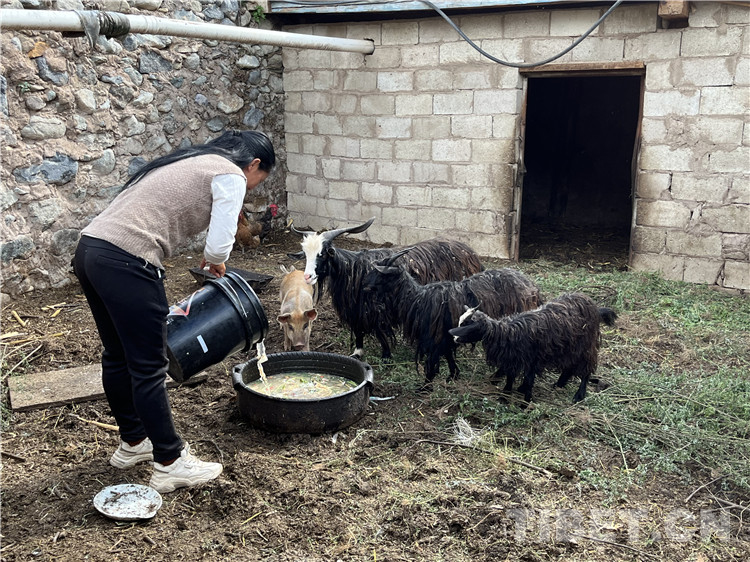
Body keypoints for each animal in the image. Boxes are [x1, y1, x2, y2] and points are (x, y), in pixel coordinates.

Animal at [289, 217, 484, 360]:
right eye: (305, 254)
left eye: (322, 253)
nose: (307, 276)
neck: (353, 270)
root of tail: (469, 251)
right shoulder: (356, 310)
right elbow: (358, 331)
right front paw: (358, 353)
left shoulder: (378, 310)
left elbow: (381, 332)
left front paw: (386, 356)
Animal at [362, 251, 543, 385]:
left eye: (379, 273)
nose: (365, 286)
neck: (417, 300)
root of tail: (533, 288)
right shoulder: (447, 334)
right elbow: (448, 353)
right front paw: (453, 374)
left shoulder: (435, 336)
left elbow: (433, 361)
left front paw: (426, 385)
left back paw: (497, 377)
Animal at [448, 292, 617, 404]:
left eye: (469, 326)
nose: (453, 337)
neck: (507, 333)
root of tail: (595, 308)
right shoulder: (514, 359)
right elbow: (511, 377)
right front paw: (506, 395)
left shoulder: (533, 359)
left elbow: (529, 379)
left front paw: (526, 401)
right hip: (570, 346)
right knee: (569, 366)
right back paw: (559, 383)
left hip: (587, 345)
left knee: (586, 369)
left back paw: (579, 395)